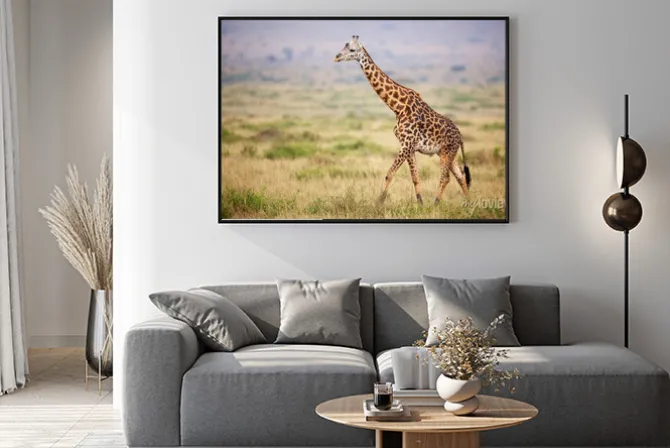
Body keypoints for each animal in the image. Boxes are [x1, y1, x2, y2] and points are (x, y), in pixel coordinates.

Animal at [334, 35, 471, 205]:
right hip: (447, 153)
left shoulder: (406, 144)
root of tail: (460, 136)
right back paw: (470, 204)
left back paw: (436, 203)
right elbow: (415, 177)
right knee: (461, 176)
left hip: (447, 152)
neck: (397, 107)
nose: (337, 57)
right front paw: (420, 204)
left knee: (446, 177)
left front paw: (379, 203)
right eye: (344, 46)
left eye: (352, 49)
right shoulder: (409, 147)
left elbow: (390, 173)